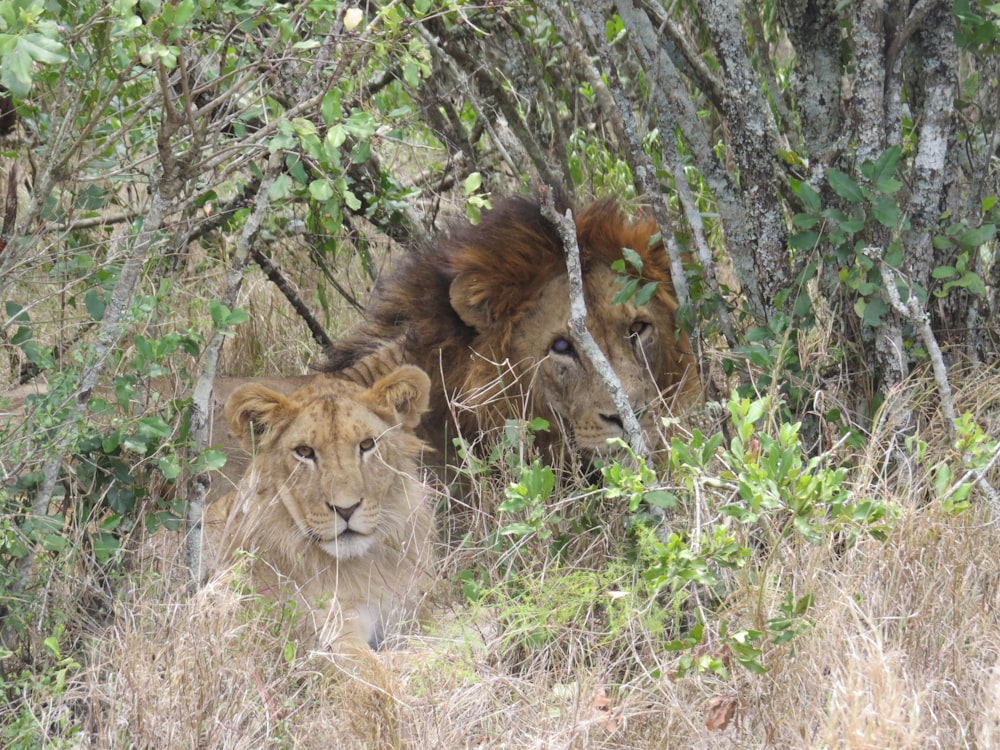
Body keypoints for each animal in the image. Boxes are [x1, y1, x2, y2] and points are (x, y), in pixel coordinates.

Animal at [201, 364, 436, 652]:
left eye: (367, 444)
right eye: (304, 451)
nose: (346, 509)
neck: (363, 566)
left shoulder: (421, 610)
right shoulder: (325, 635)